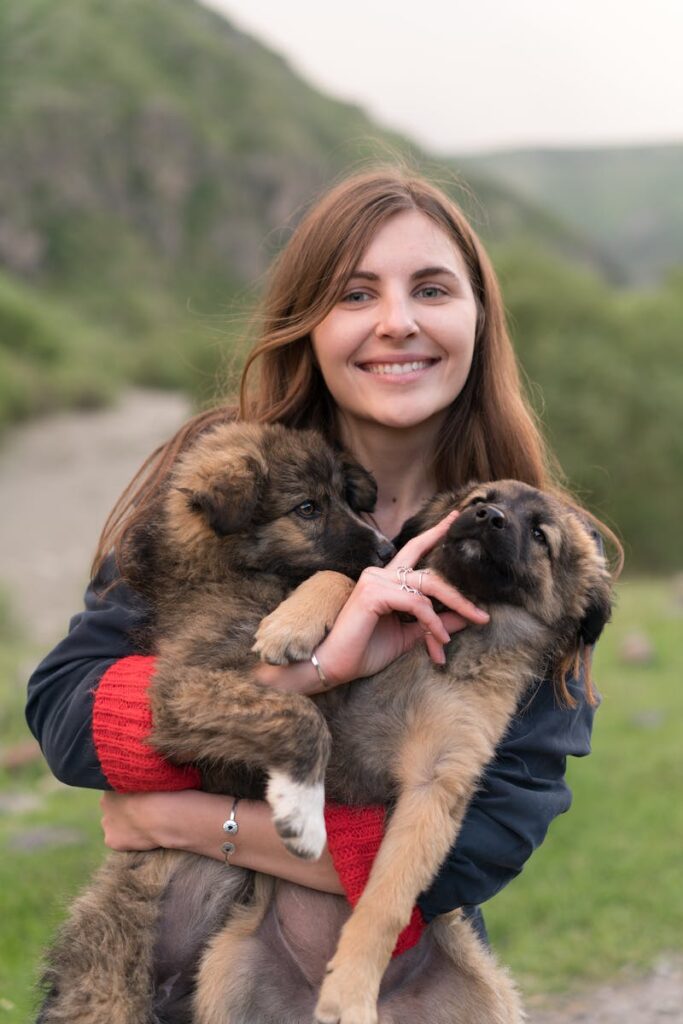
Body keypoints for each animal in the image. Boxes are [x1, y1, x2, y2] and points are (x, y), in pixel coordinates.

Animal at [34, 419, 393, 1024]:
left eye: (346, 496)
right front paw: (302, 812)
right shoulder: (181, 692)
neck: (227, 572)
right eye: (307, 508)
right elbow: (301, 717)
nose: (388, 549)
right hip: (111, 980)